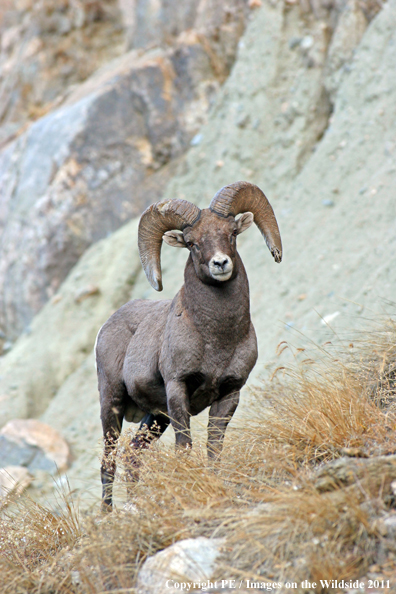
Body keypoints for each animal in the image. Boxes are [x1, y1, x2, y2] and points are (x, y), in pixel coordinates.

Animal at [95, 182, 282, 508]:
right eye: (192, 243)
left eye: (231, 233)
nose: (220, 263)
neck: (217, 340)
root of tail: (107, 327)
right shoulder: (177, 388)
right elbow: (185, 447)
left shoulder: (229, 394)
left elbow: (214, 447)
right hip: (112, 405)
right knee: (109, 461)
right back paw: (108, 515)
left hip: (155, 417)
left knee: (132, 454)